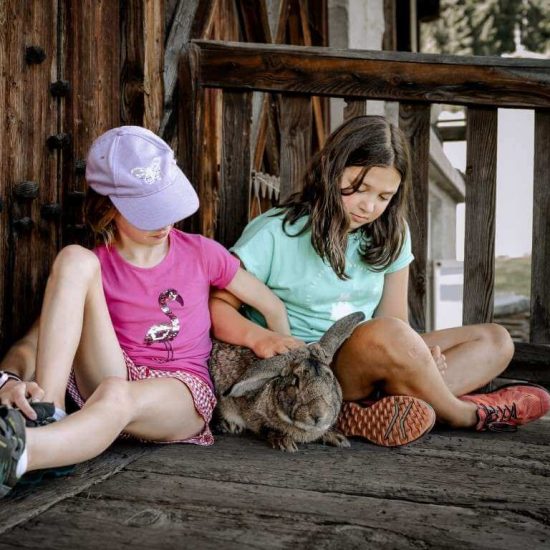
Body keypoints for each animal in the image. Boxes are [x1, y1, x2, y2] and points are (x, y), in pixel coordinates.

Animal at [207, 312, 366, 454]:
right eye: (295, 382)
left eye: (331, 381)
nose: (318, 415)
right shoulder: (253, 415)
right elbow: (266, 428)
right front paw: (285, 443)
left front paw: (339, 439)